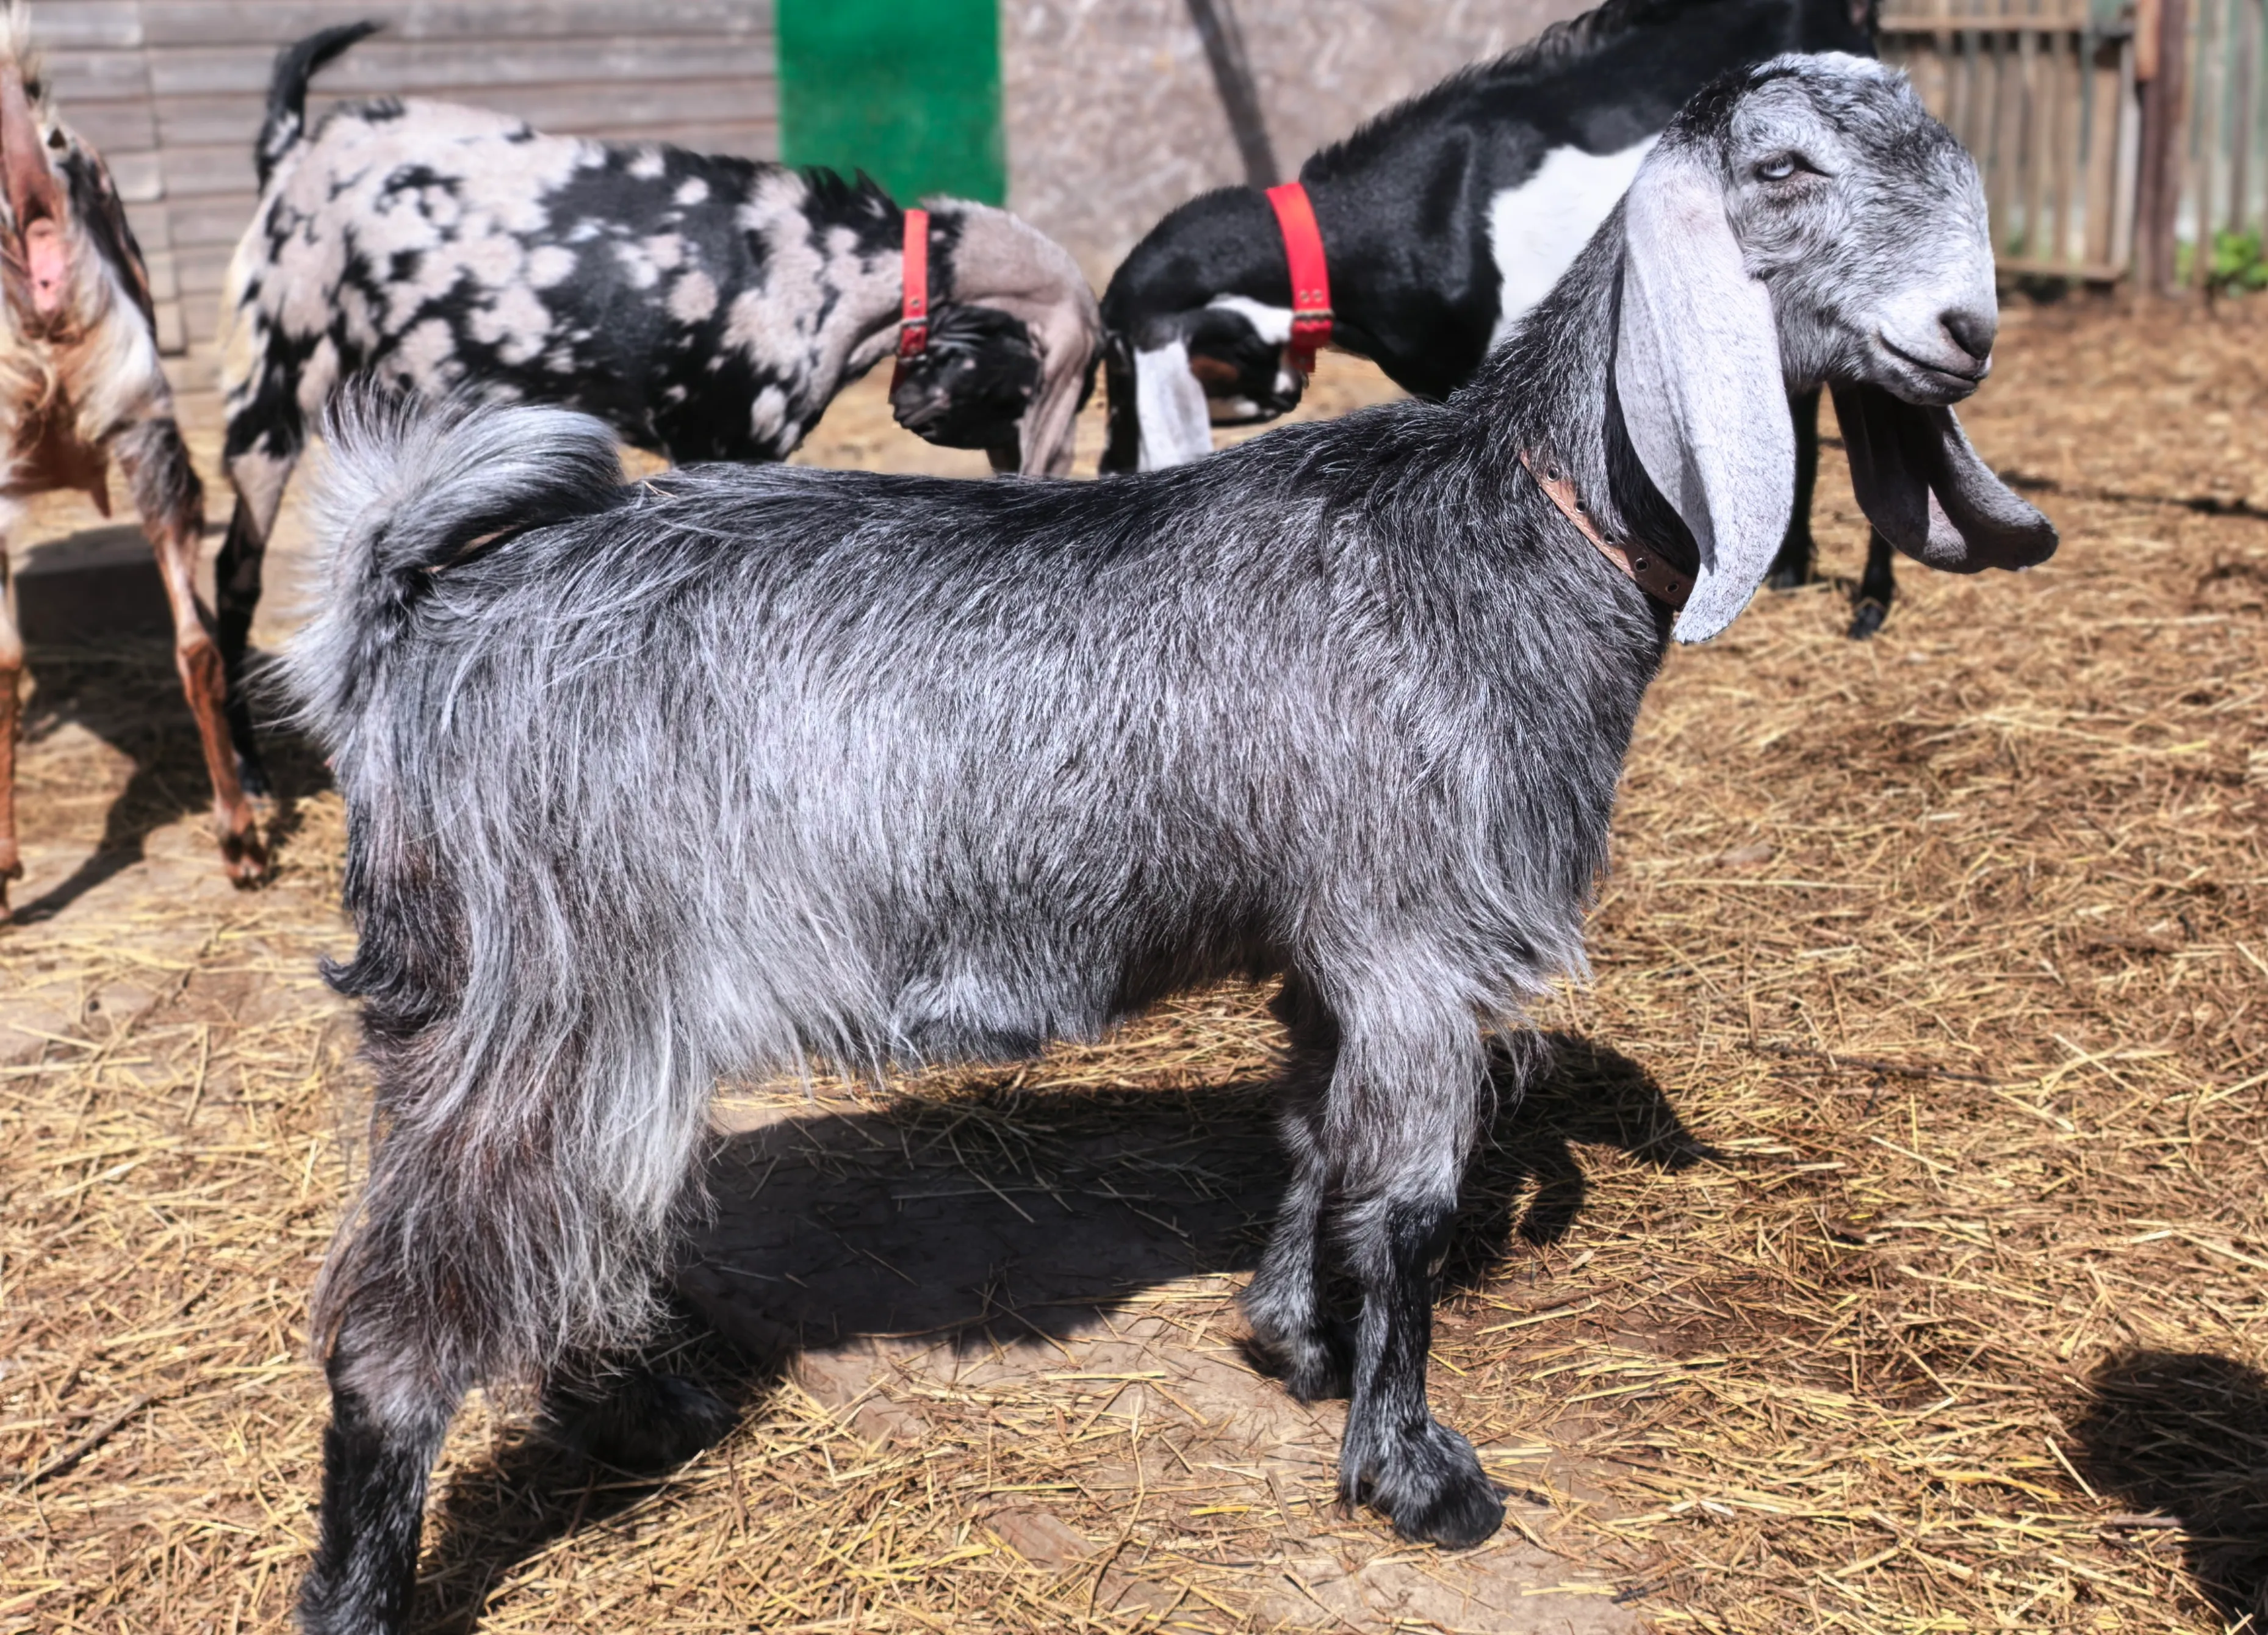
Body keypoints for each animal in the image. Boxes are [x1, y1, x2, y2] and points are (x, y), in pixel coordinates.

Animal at [215, 22, 1101, 794]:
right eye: (1039, 391)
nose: (1041, 477)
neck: (833, 267)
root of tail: (297, 152)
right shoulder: (723, 441)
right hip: (274, 386)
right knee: (232, 575)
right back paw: (251, 779)